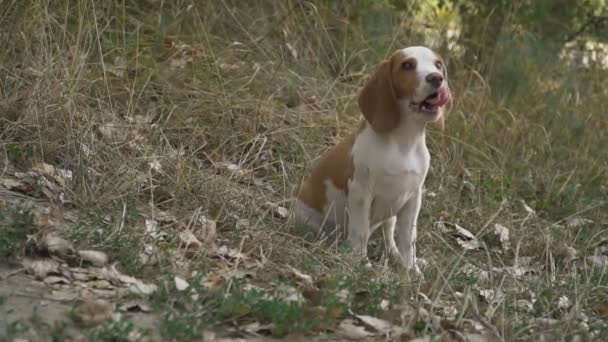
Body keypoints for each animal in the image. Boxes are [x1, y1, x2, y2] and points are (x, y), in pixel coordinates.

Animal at [294, 46, 452, 272]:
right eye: (407, 65)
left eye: (438, 65)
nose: (436, 78)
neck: (404, 141)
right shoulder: (361, 193)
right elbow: (360, 231)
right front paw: (361, 263)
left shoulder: (413, 200)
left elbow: (408, 240)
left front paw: (411, 269)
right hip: (310, 219)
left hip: (391, 215)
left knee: (389, 237)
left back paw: (396, 256)